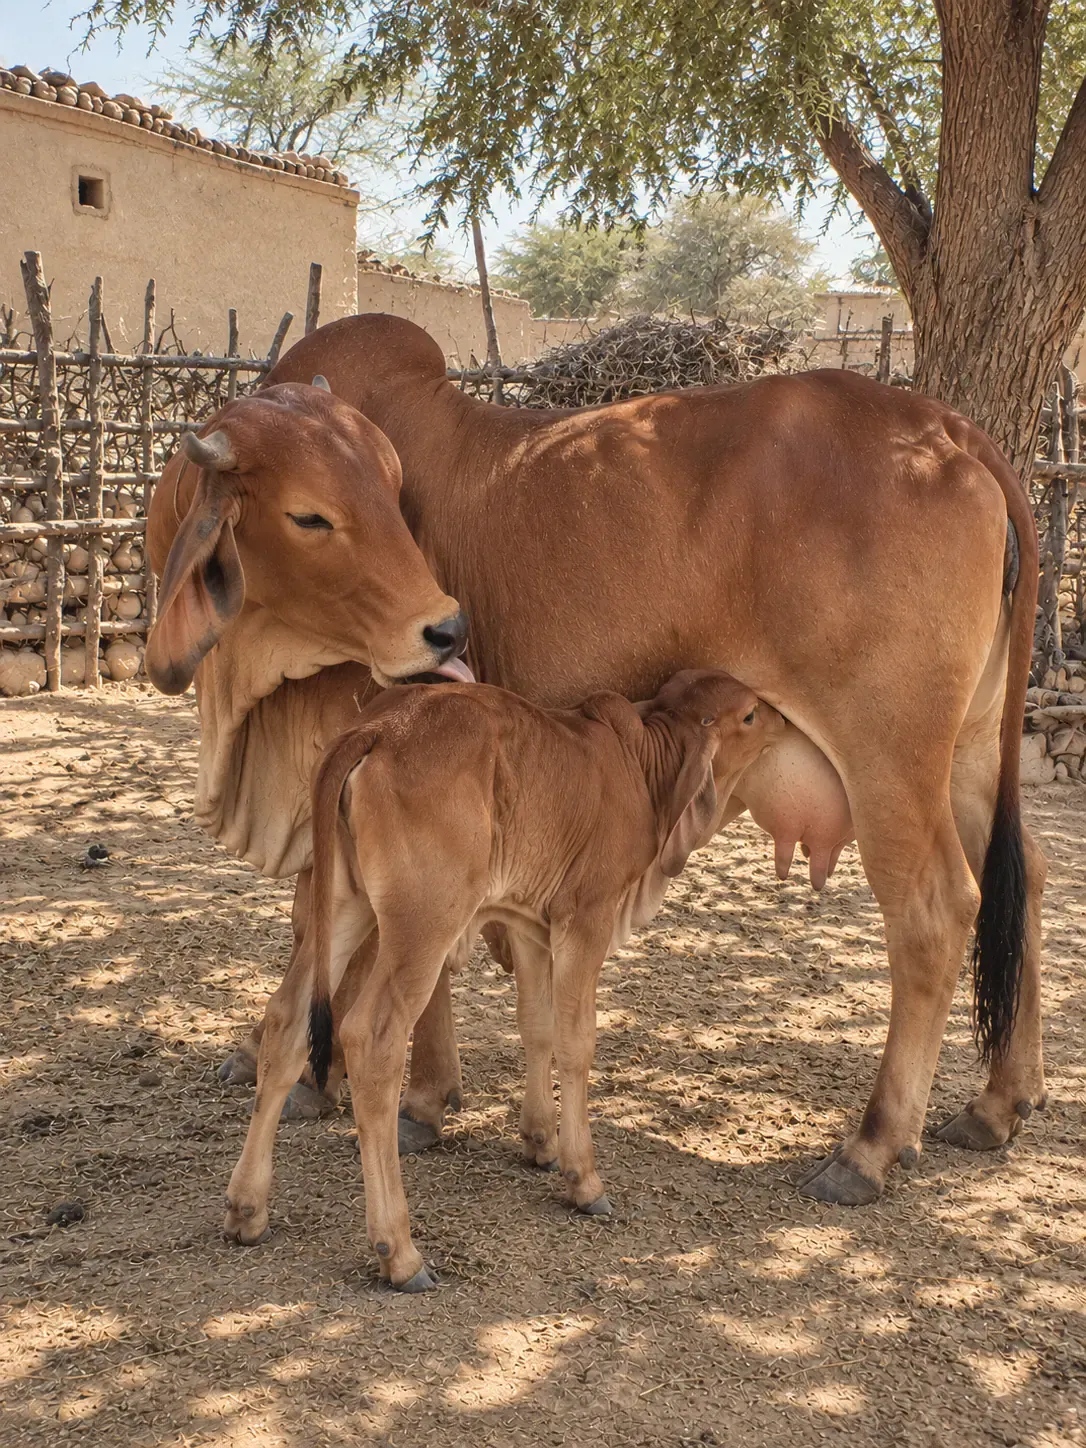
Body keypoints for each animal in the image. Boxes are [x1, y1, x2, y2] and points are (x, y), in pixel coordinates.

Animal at [147, 313, 1044, 1207]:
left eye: (391, 497)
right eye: (309, 516)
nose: (448, 631)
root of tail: (951, 430)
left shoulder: (361, 754)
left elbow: (341, 925)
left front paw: (378, 1090)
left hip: (889, 760)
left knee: (935, 912)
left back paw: (871, 1147)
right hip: (970, 754)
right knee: (1020, 876)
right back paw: (999, 1103)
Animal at [223, 671, 784, 1288]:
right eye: (751, 714)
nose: (783, 721)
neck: (639, 764)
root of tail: (378, 728)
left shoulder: (529, 924)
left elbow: (537, 1026)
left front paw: (541, 1141)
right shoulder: (585, 918)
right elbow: (576, 1041)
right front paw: (582, 1179)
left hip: (346, 904)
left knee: (286, 1021)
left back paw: (247, 1210)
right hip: (423, 921)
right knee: (371, 1039)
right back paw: (400, 1252)